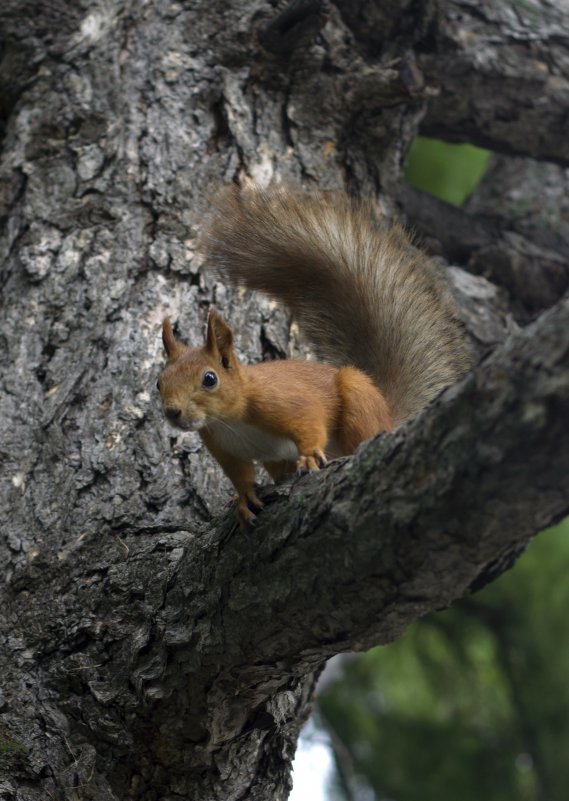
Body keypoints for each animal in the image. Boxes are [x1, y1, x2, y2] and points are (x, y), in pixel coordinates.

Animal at [156, 184, 470, 528]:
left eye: (210, 379)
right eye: (159, 382)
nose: (172, 412)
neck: (230, 420)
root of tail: (389, 415)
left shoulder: (283, 400)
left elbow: (309, 421)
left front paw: (307, 456)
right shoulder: (223, 447)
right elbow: (240, 475)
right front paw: (242, 499)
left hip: (358, 399)